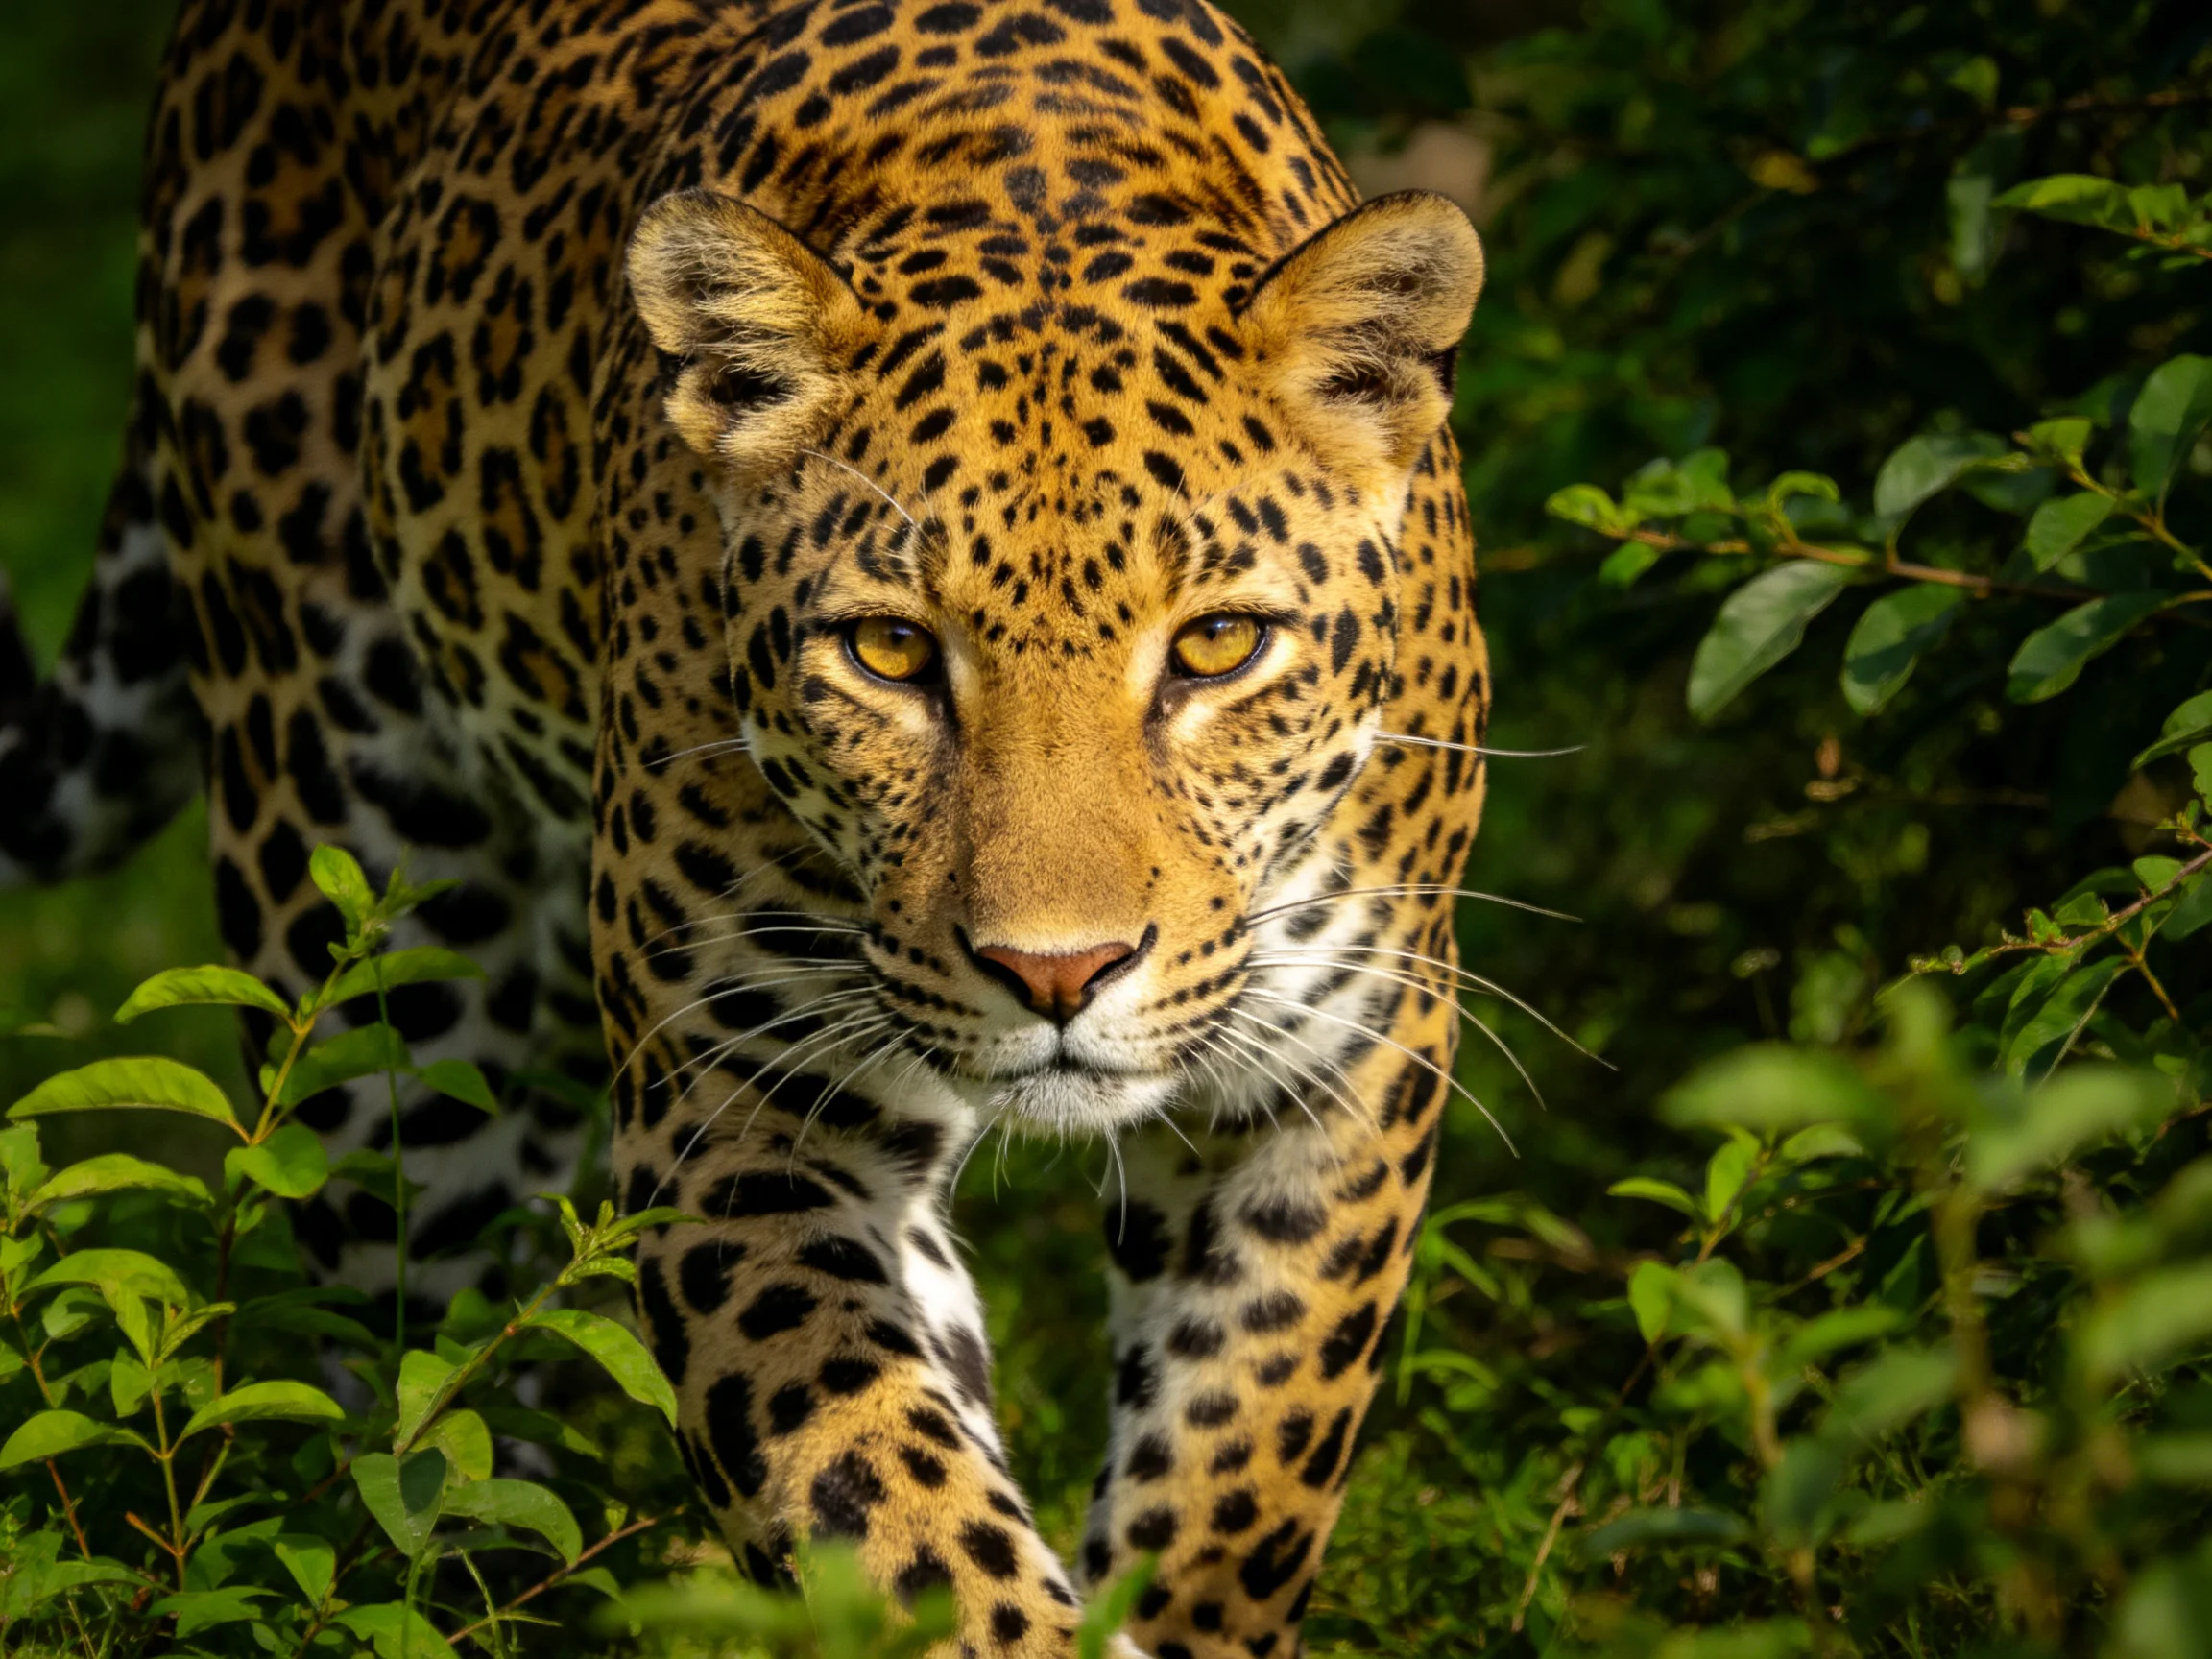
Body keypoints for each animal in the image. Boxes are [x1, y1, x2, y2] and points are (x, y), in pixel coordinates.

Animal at [0, 0, 1494, 1653]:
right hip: (363, 898)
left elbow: (1240, 1473)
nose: (1058, 974)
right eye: (890, 653)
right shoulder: (752, 1115)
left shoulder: (1336, 1074)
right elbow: (899, 1515)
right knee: (430, 1367)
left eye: (1220, 645)